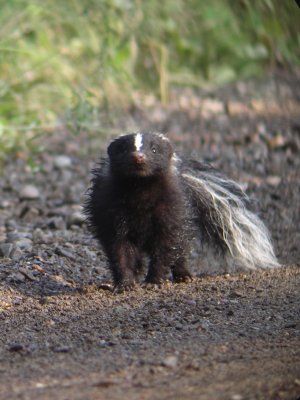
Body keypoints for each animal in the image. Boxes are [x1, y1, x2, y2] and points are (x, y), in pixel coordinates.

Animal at [84, 131, 278, 290]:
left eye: (154, 150)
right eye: (124, 149)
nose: (138, 157)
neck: (140, 187)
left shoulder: (171, 206)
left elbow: (166, 243)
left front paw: (153, 281)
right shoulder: (112, 207)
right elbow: (119, 246)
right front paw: (125, 283)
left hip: (184, 216)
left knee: (181, 247)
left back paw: (183, 275)